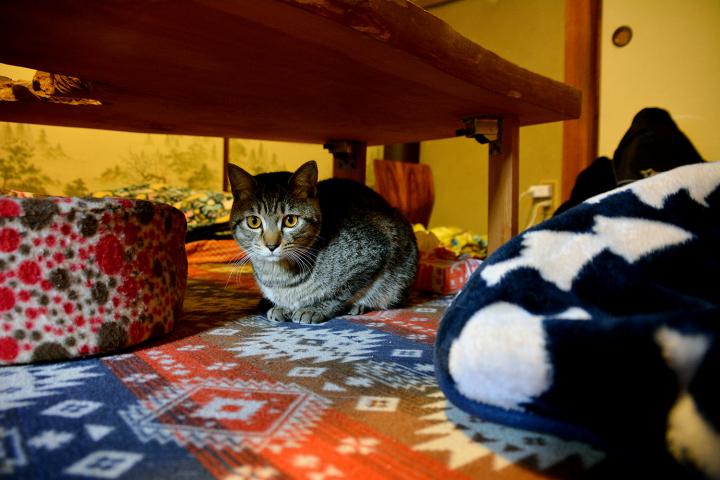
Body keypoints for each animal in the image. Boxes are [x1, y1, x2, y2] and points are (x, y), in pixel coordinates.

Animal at [227, 160, 418, 324]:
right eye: (254, 222)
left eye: (290, 221)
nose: (271, 245)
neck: (278, 276)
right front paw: (282, 307)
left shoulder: (372, 254)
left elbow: (340, 293)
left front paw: (314, 308)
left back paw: (359, 306)